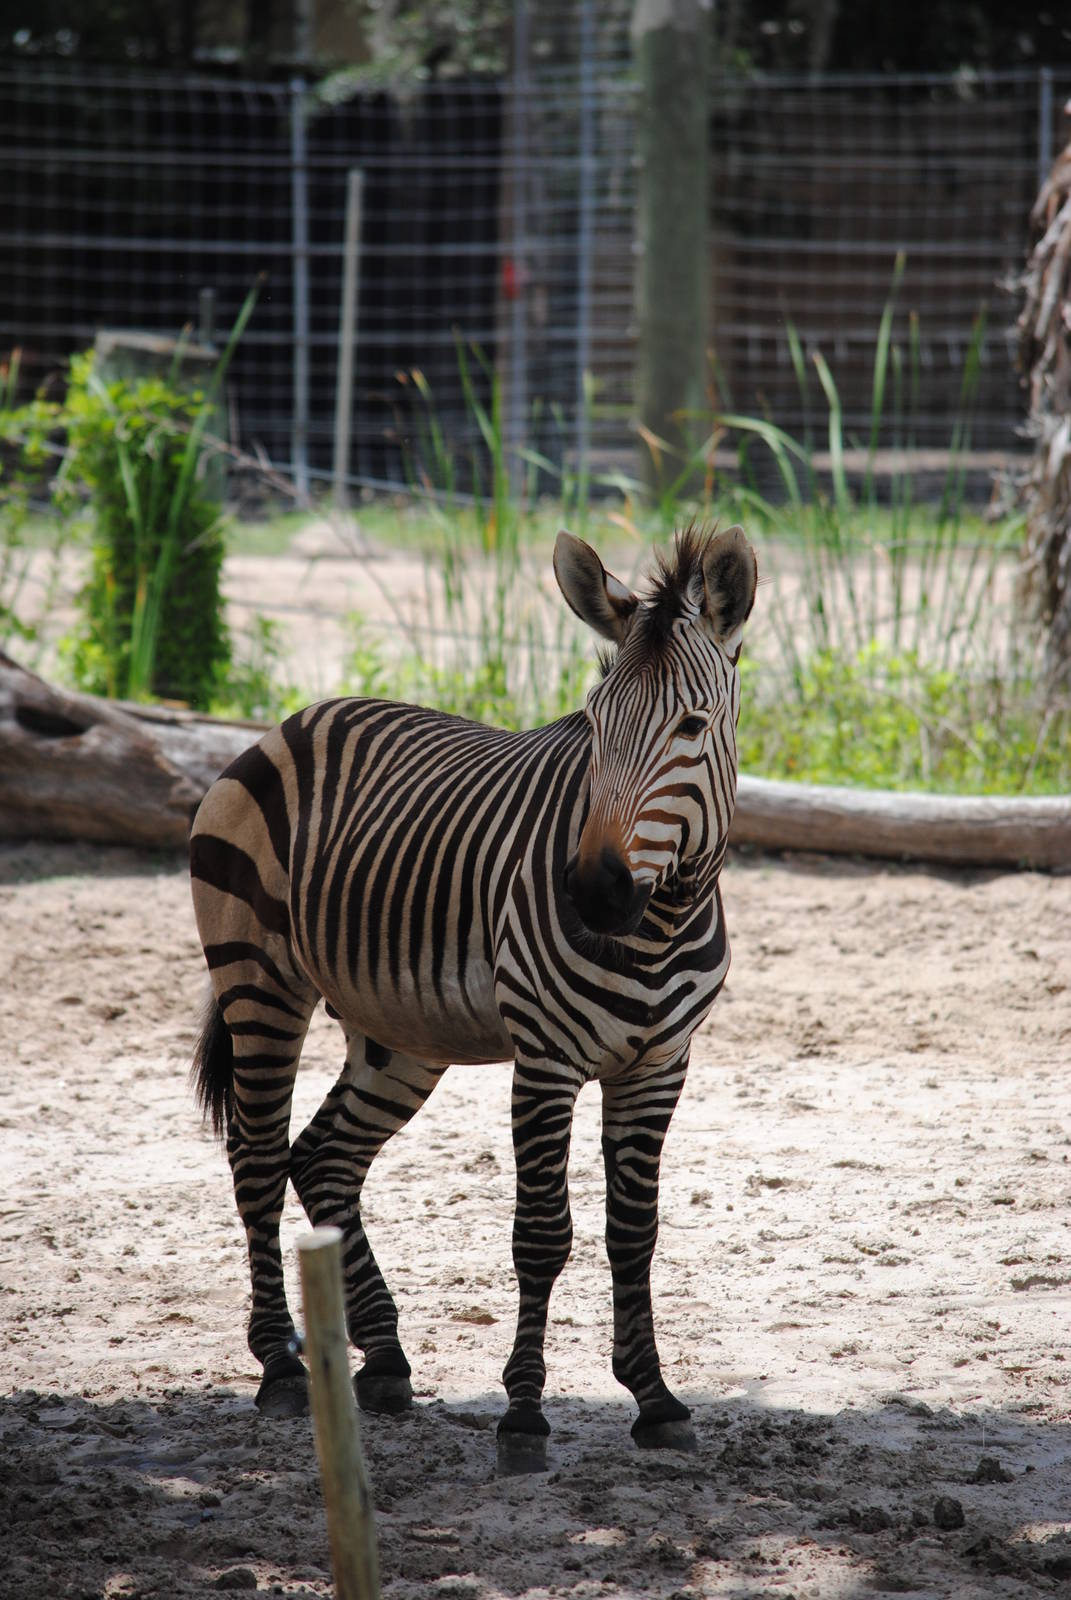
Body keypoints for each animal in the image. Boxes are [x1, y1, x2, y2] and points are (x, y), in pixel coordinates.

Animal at [190, 522, 757, 1472]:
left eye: (691, 725)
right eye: (591, 724)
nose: (591, 893)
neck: (658, 922)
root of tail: (298, 719)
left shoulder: (659, 1065)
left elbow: (633, 1232)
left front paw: (653, 1398)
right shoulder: (546, 1060)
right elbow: (543, 1234)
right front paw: (523, 1414)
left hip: (397, 1031)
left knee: (323, 1155)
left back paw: (382, 1356)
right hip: (257, 981)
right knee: (259, 1162)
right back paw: (279, 1365)